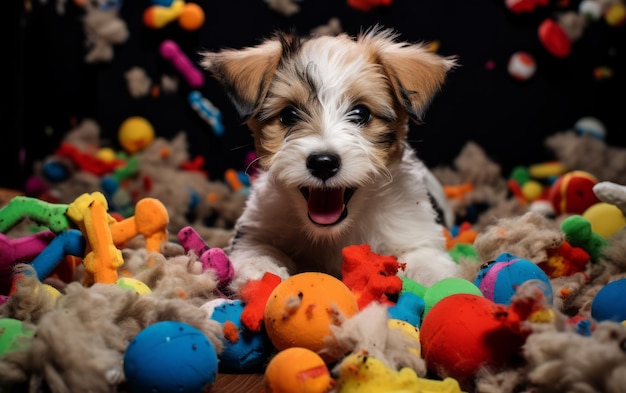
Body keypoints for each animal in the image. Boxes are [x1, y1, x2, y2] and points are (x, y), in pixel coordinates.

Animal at [200, 27, 458, 290]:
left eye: (361, 113)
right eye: (289, 115)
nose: (323, 163)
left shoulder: (415, 232)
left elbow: (426, 259)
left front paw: (443, 283)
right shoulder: (255, 229)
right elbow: (255, 249)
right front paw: (262, 270)